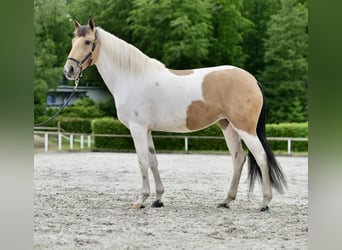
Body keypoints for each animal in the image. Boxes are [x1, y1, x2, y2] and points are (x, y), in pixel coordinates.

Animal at [63, 17, 286, 211]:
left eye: (88, 41)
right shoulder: (147, 130)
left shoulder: (138, 128)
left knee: (261, 157)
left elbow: (142, 161)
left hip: (245, 128)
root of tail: (251, 80)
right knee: (238, 158)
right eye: (73, 41)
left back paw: (265, 203)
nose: (69, 70)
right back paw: (226, 201)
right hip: (228, 126)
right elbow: (153, 161)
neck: (132, 78)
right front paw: (158, 199)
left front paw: (141, 200)